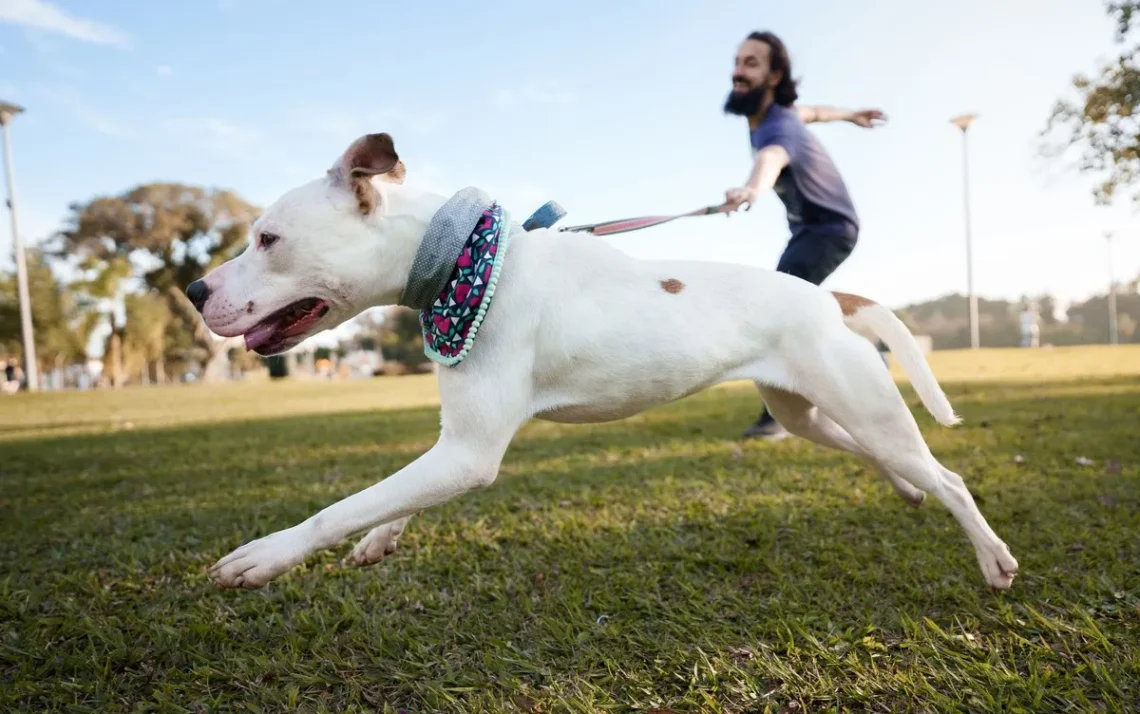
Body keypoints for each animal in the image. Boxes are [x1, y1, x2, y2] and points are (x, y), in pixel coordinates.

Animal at [189, 132, 1026, 588]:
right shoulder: (453, 446)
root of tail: (829, 297)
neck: (464, 260)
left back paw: (991, 558)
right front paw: (380, 540)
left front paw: (266, 556)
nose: (194, 288)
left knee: (948, 477)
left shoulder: (468, 453)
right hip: (809, 411)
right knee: (876, 452)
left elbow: (343, 503)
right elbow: (388, 498)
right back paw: (905, 490)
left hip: (863, 405)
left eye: (266, 238)